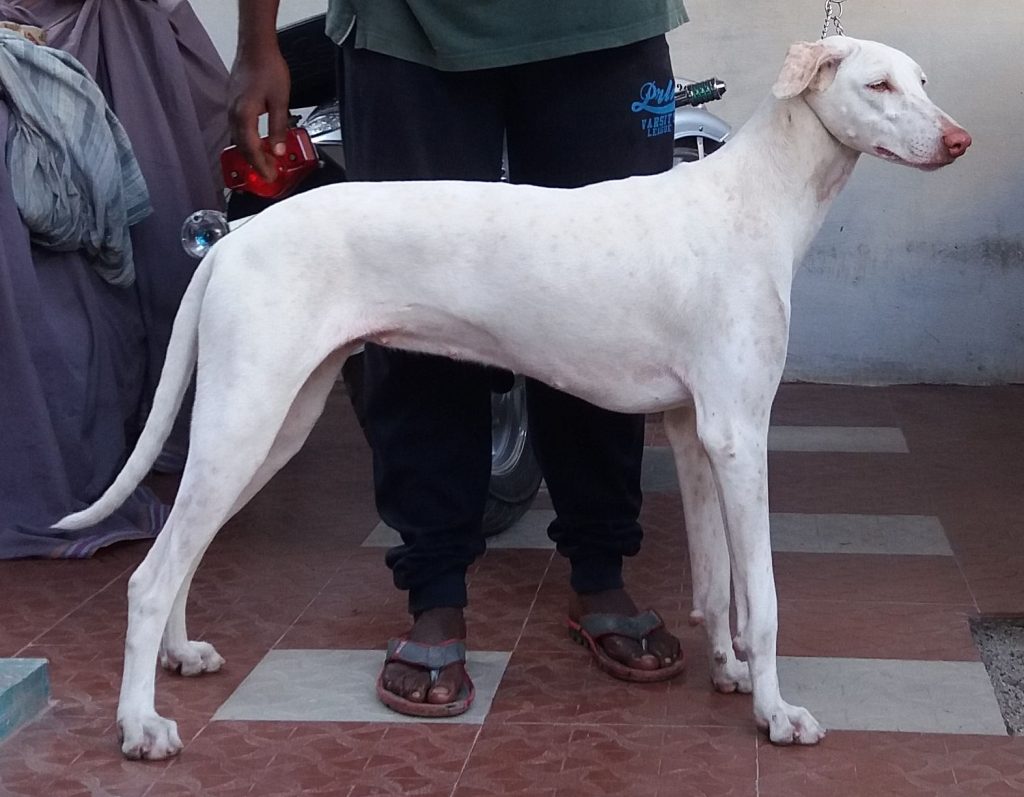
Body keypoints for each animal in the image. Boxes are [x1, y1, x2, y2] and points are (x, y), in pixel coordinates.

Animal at [54, 38, 966, 758]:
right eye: (879, 86)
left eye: (924, 80)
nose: (959, 140)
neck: (753, 197)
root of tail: (234, 239)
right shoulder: (741, 433)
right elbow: (765, 596)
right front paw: (778, 713)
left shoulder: (696, 431)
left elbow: (716, 585)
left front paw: (731, 671)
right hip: (246, 417)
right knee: (150, 575)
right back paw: (139, 725)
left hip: (271, 426)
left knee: (185, 552)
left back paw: (180, 657)